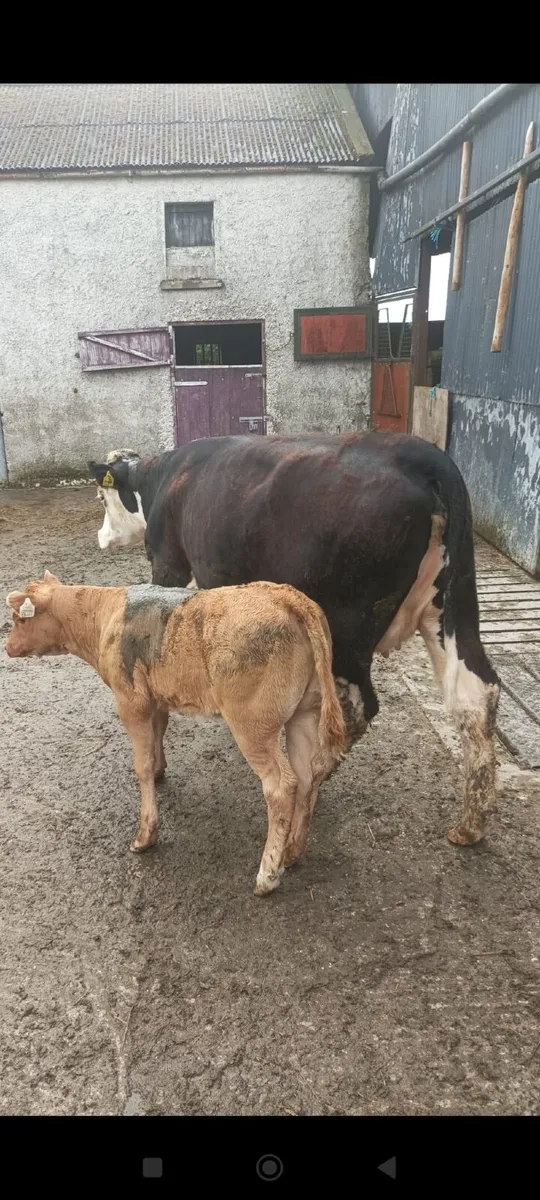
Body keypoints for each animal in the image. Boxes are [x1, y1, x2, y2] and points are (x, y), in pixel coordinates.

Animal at [5, 572, 346, 895]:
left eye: (20, 619)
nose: (7, 647)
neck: (103, 614)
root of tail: (288, 597)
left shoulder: (131, 701)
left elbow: (140, 766)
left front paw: (145, 834)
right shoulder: (156, 697)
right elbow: (158, 734)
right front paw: (160, 770)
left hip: (252, 724)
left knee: (281, 786)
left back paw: (268, 875)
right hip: (304, 712)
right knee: (307, 776)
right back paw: (292, 852)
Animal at [89, 433, 501, 849]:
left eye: (102, 498)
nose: (101, 538)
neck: (161, 480)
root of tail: (420, 454)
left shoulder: (169, 565)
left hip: (349, 627)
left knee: (355, 712)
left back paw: (314, 779)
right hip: (453, 604)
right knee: (475, 693)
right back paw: (470, 825)